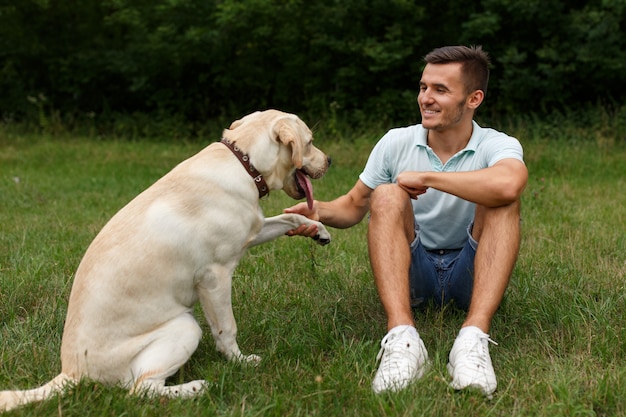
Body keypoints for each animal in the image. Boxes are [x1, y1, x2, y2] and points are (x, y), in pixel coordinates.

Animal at [0, 109, 332, 412]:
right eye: (310, 142)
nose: (330, 161)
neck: (245, 163)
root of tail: (71, 372)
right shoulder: (215, 277)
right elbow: (227, 329)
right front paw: (240, 362)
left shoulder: (252, 230)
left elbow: (290, 217)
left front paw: (318, 229)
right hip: (186, 327)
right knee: (140, 390)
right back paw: (197, 388)